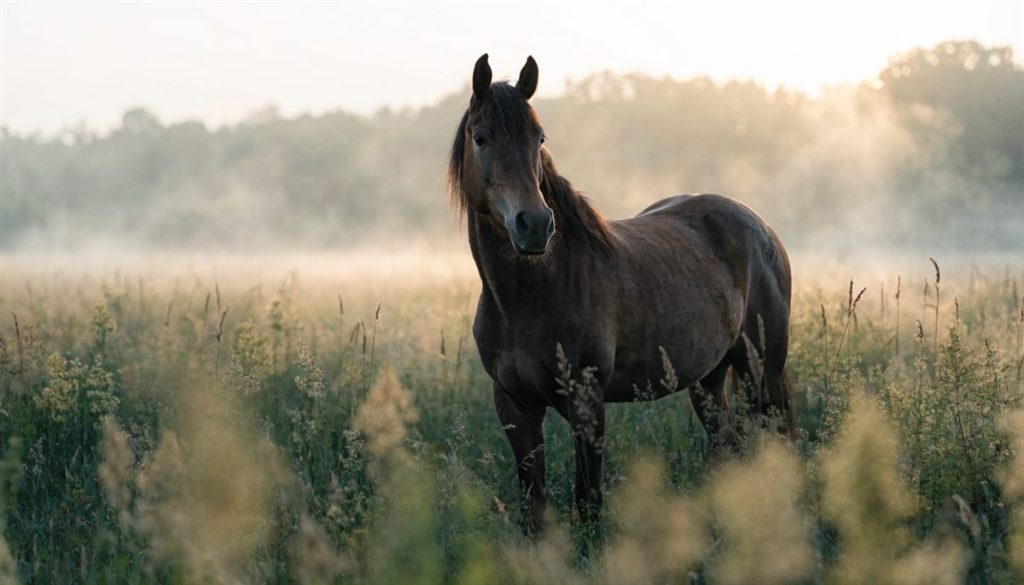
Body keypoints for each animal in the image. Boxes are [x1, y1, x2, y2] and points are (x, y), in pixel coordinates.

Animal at [448, 54, 793, 531]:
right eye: (480, 138)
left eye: (539, 138)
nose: (534, 225)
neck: (526, 297)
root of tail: (761, 226)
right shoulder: (515, 408)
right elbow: (533, 506)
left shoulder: (587, 404)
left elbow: (587, 501)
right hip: (709, 379)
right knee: (727, 445)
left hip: (764, 371)